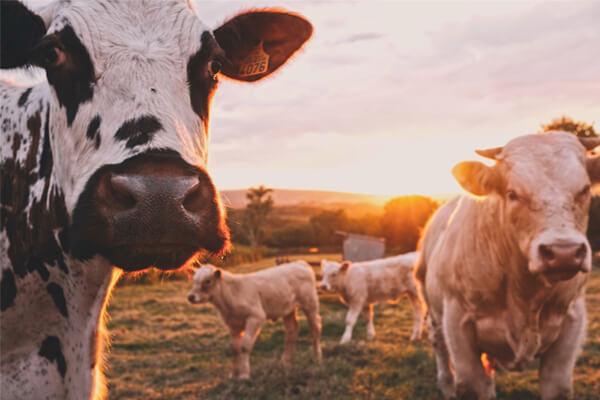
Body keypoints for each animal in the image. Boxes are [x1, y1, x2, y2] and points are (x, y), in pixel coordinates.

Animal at [188, 262, 322, 382]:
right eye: (194, 280)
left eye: (207, 281)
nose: (191, 297)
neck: (231, 294)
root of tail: (300, 263)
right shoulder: (233, 324)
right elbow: (234, 348)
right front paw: (234, 374)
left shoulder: (256, 316)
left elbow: (244, 346)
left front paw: (244, 375)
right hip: (288, 309)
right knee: (292, 330)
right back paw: (285, 361)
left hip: (310, 304)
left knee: (315, 328)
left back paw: (317, 358)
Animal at [414, 132, 600, 400]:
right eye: (512, 194)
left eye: (584, 190)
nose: (563, 252)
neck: (525, 295)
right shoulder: (457, 323)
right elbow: (471, 384)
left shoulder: (572, 321)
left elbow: (558, 386)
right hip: (432, 308)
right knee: (439, 345)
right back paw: (446, 386)